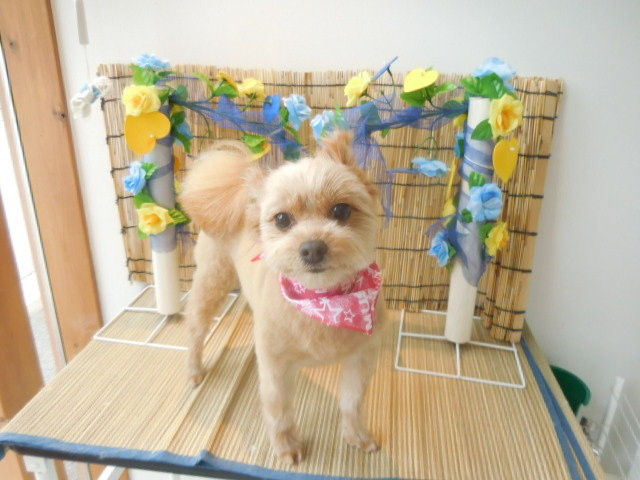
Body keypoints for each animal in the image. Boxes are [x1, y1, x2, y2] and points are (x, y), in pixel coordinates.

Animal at [180, 130, 386, 465]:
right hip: (212, 282)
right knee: (196, 330)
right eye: (282, 220)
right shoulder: (275, 367)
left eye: (341, 211)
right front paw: (287, 446)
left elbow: (352, 403)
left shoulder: (361, 358)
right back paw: (194, 370)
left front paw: (358, 436)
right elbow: (280, 411)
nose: (312, 248)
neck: (323, 300)